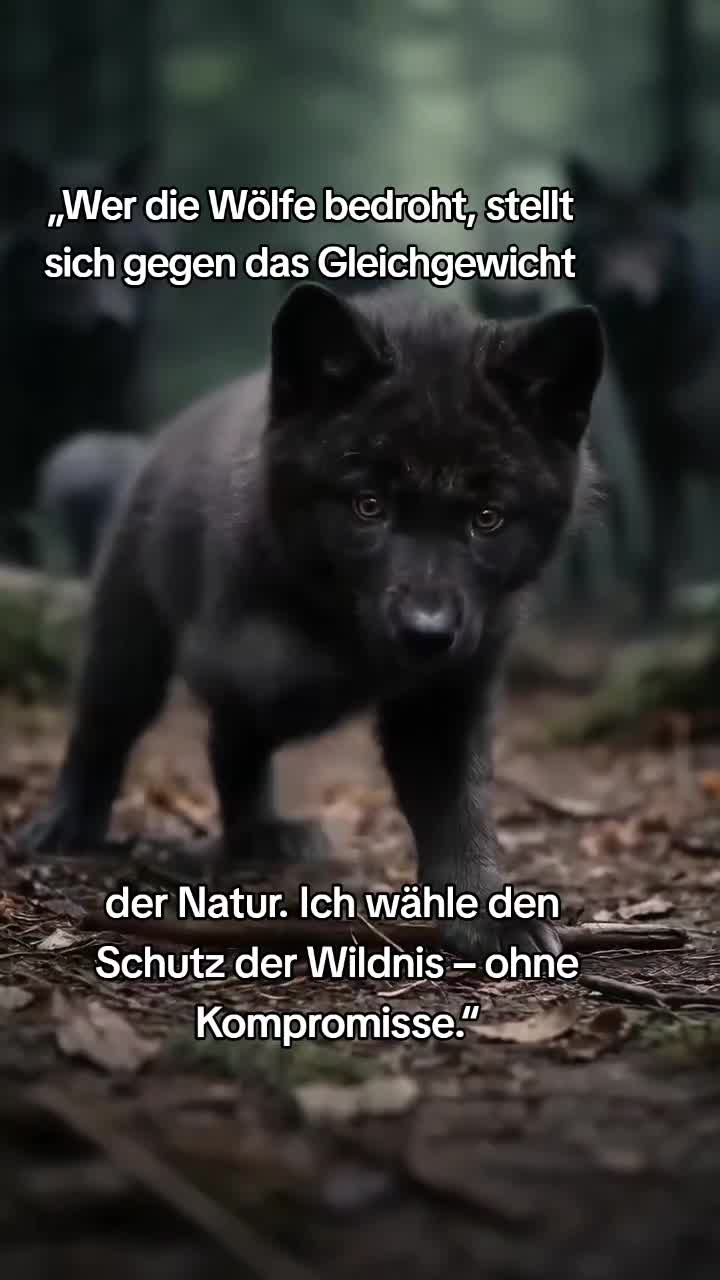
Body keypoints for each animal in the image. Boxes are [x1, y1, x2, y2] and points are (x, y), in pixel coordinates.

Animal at [16, 283, 604, 958]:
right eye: (367, 506)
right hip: (128, 640)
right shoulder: (240, 642)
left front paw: (487, 917)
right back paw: (67, 825)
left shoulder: (451, 693)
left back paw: (260, 833)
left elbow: (457, 805)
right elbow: (279, 675)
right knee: (107, 726)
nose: (425, 633)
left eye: (488, 518)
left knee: (230, 743)